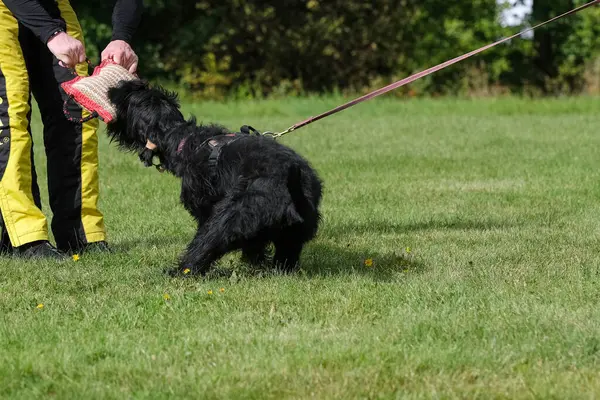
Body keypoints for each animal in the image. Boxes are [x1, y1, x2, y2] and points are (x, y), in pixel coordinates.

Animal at [106, 79, 324, 276]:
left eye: (129, 101)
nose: (114, 89)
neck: (181, 138)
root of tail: (289, 180)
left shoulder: (204, 208)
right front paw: (257, 263)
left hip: (228, 219)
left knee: (205, 245)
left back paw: (178, 271)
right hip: (296, 230)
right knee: (286, 256)